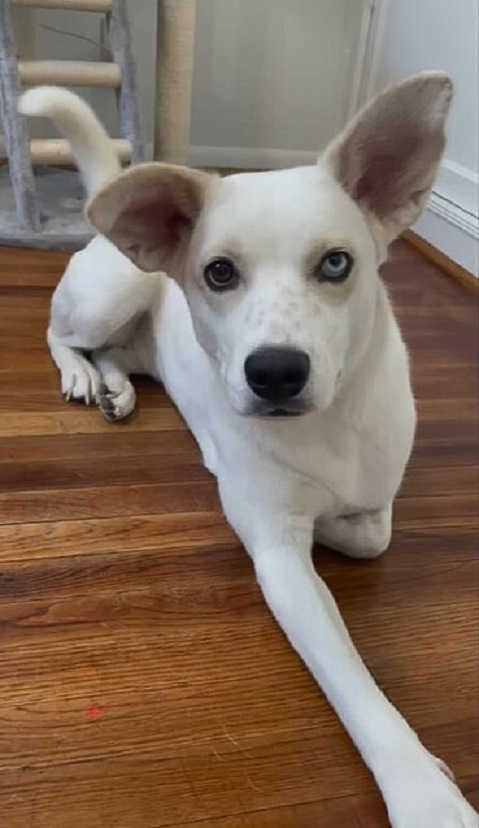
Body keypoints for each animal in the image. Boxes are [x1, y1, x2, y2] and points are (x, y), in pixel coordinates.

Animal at [17, 79, 476, 828]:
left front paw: (338, 519)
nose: (276, 372)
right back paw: (82, 376)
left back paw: (116, 386)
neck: (326, 424)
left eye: (336, 263)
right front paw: (424, 795)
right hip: (112, 293)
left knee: (120, 355)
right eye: (220, 272)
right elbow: (355, 686)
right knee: (62, 336)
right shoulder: (280, 559)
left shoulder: (376, 498)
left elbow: (369, 534)